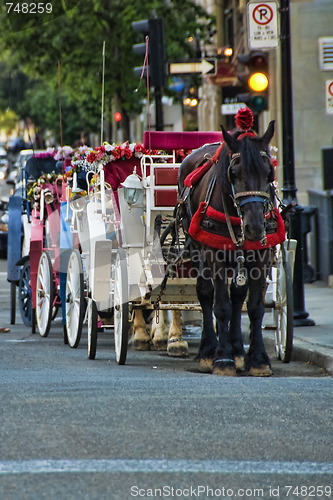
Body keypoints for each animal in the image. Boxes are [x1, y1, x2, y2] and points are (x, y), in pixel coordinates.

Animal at [176, 121, 282, 376]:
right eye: (234, 173)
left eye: (268, 173)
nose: (255, 226)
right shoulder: (215, 254)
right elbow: (221, 306)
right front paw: (222, 359)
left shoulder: (261, 255)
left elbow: (254, 306)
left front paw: (258, 359)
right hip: (197, 249)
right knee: (205, 293)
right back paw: (208, 350)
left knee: (237, 296)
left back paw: (237, 350)